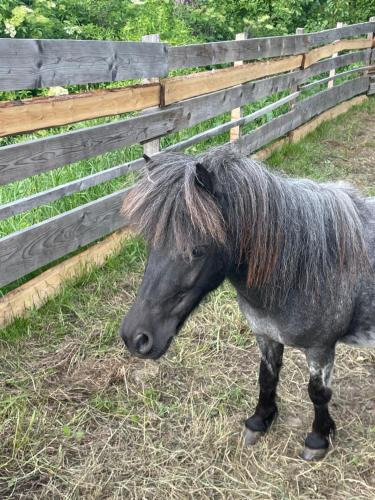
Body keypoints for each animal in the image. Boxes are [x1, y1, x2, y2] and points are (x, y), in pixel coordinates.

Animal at [121, 147, 375, 460]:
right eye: (151, 243)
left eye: (198, 250)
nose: (135, 337)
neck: (305, 269)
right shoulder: (266, 335)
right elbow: (267, 378)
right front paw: (259, 421)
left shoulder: (321, 348)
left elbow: (318, 393)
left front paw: (318, 438)